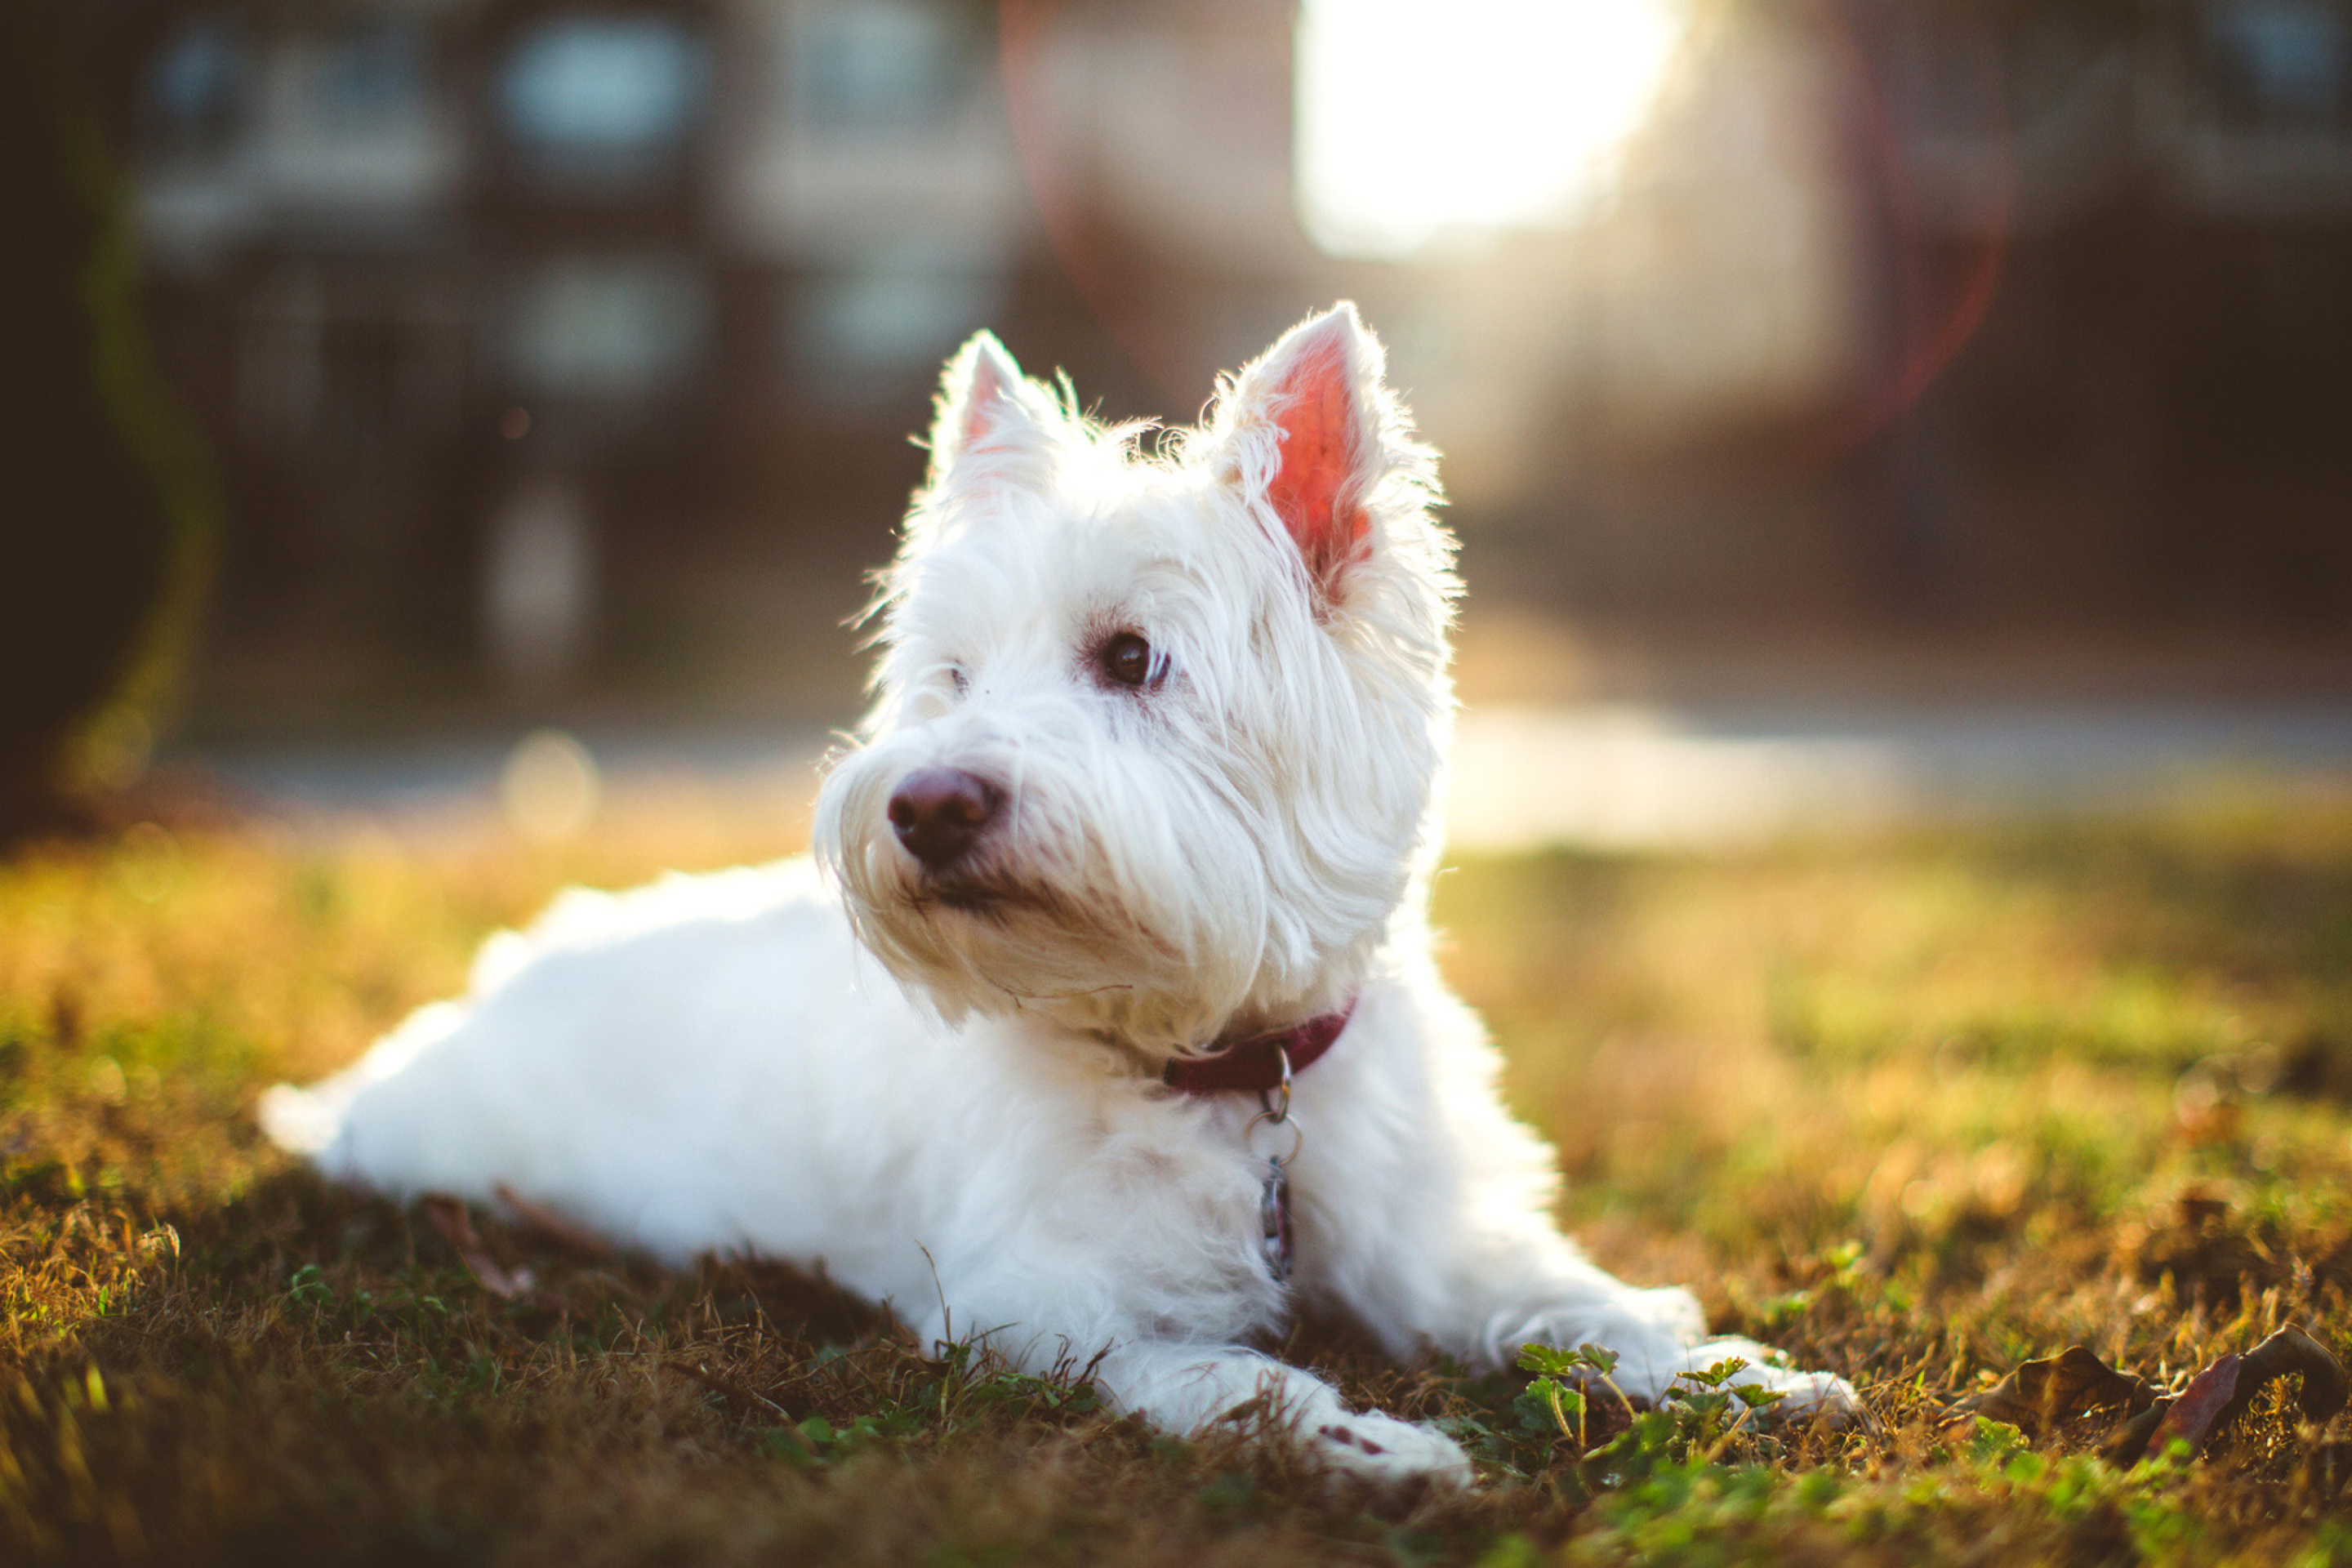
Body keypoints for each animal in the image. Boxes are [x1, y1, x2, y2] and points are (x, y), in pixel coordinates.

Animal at [266, 305, 1853, 1486]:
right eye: (953, 677)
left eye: (1131, 658)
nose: (924, 805)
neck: (1224, 1072)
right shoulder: (1039, 1308)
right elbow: (1225, 1372)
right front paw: (1372, 1444)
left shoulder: (1437, 1244)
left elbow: (1573, 1301)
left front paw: (1736, 1372)